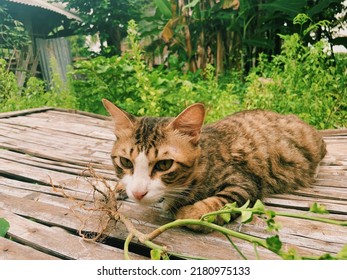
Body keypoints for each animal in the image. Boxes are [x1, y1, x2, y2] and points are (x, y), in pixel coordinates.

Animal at [102, 99, 328, 232]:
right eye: (125, 161)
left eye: (164, 164)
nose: (138, 193)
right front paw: (121, 187)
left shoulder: (244, 183)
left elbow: (204, 210)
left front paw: (182, 212)